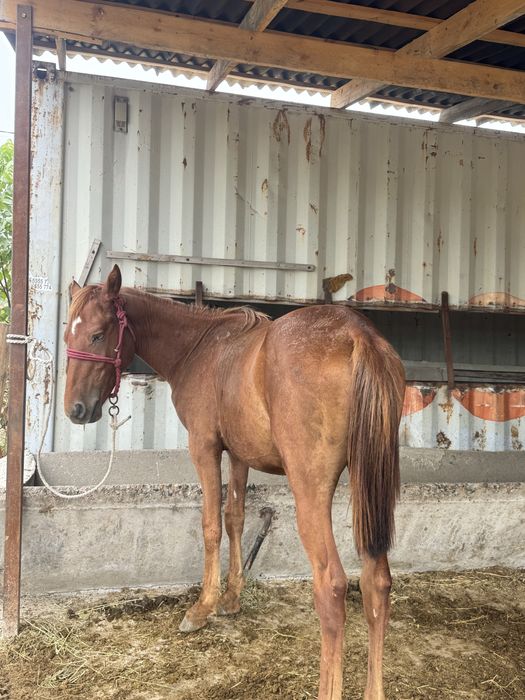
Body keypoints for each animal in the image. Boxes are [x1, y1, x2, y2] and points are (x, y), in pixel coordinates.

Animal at [63, 265, 405, 700]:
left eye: (97, 334)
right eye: (67, 334)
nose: (75, 410)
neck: (199, 349)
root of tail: (357, 335)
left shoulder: (205, 447)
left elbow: (211, 525)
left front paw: (203, 606)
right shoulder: (240, 455)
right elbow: (235, 518)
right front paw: (231, 597)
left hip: (311, 492)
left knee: (331, 587)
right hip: (367, 489)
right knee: (377, 583)